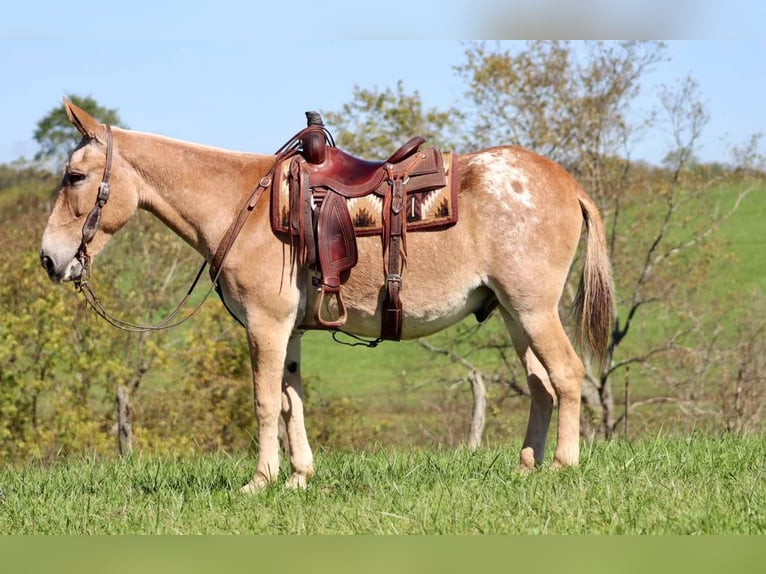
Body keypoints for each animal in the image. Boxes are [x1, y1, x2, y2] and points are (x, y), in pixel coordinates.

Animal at [40, 99, 615, 491]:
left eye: (74, 176)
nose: (49, 258)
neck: (242, 204)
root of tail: (567, 183)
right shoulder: (288, 330)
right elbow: (291, 400)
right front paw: (299, 476)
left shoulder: (266, 324)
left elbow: (265, 400)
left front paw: (260, 481)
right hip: (515, 315)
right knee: (541, 385)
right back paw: (526, 467)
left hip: (533, 309)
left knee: (566, 375)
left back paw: (562, 465)